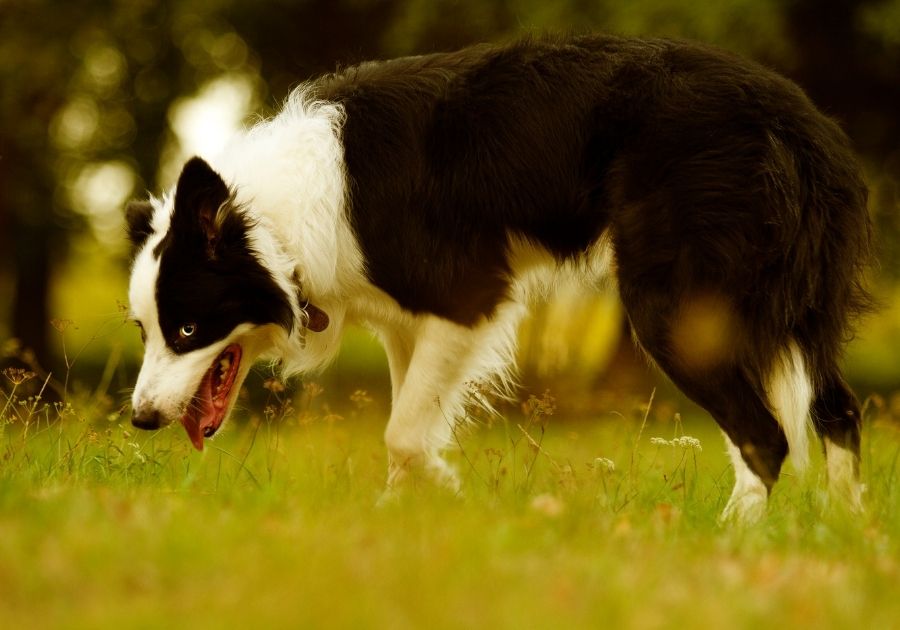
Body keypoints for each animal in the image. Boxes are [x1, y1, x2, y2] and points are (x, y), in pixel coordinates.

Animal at [126, 37, 872, 524]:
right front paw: (404, 518)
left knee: (766, 433)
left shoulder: (466, 299)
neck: (271, 220)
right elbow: (408, 427)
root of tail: (797, 121)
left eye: (187, 328)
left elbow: (403, 434)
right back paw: (844, 530)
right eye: (143, 331)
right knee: (836, 408)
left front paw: (453, 495)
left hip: (674, 306)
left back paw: (731, 540)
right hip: (794, 303)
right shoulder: (406, 324)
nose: (140, 420)